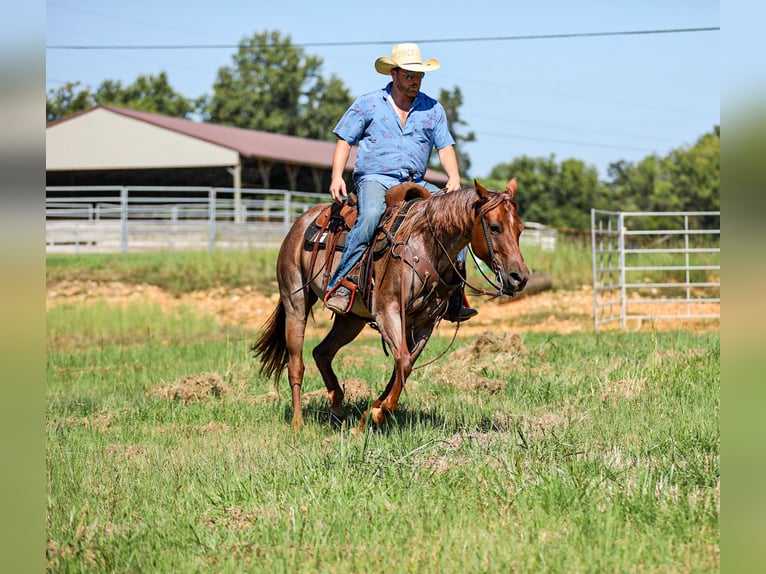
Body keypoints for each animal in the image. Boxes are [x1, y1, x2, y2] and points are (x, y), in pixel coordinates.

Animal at [252, 179, 529, 431]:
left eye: (520, 229)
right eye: (494, 227)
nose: (520, 277)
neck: (425, 243)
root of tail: (301, 223)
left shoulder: (424, 323)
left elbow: (404, 365)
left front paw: (370, 415)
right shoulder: (388, 311)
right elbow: (403, 361)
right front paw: (377, 413)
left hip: (351, 320)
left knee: (322, 352)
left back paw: (338, 408)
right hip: (295, 303)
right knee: (296, 364)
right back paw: (298, 423)